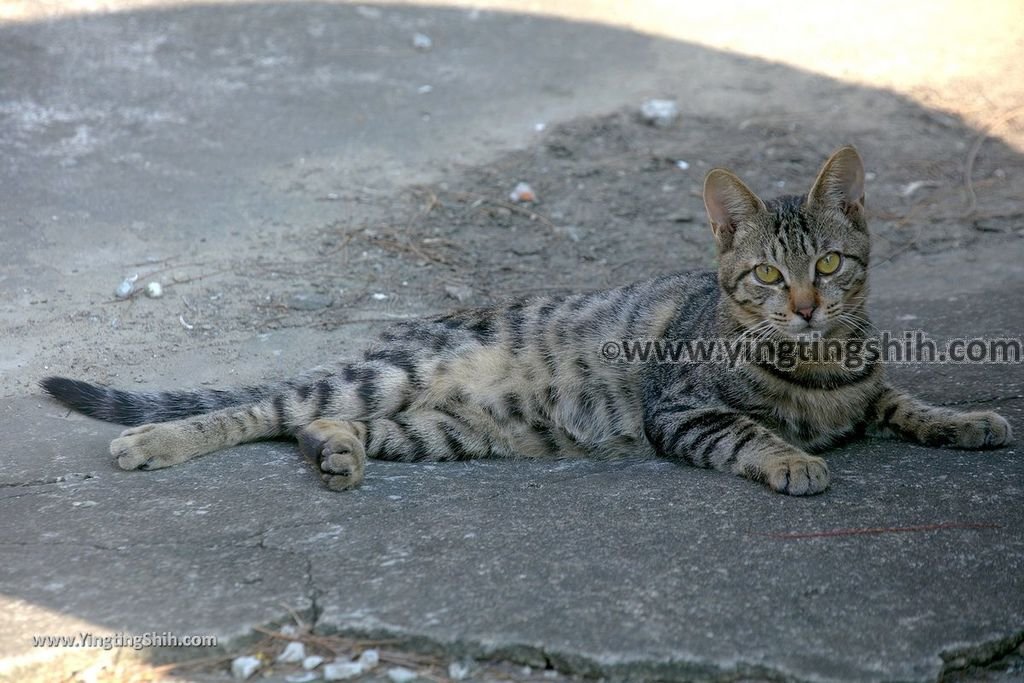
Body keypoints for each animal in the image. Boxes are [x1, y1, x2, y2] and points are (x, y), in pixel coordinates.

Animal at [39, 147, 1007, 493]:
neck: (816, 364)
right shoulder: (680, 409)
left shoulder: (864, 384)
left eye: (830, 266)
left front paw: (966, 419)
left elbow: (899, 399)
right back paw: (154, 441)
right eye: (768, 274)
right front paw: (793, 457)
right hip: (389, 375)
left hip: (442, 429)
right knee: (265, 408)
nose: (805, 306)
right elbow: (749, 430)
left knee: (314, 425)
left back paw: (338, 454)